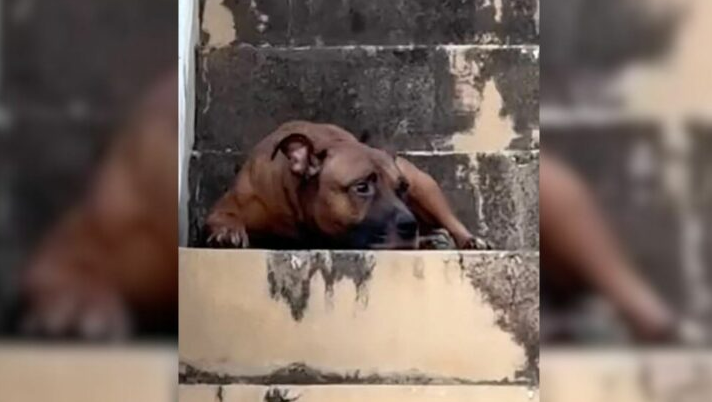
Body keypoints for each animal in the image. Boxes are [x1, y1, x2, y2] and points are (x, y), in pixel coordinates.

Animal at [209, 121, 482, 250]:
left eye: (402, 188)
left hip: (424, 185)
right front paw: (228, 232)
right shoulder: (232, 204)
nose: (410, 225)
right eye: (361, 187)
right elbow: (224, 216)